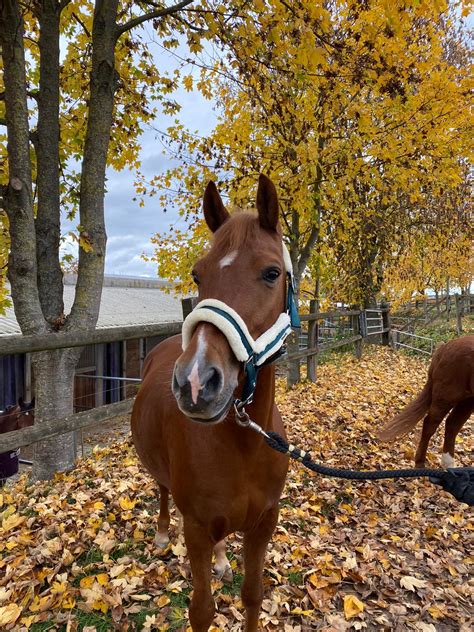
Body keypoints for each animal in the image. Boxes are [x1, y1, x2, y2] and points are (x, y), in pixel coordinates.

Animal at [131, 175, 290, 628]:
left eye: (271, 272)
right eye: (197, 275)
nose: (195, 382)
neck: (244, 446)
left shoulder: (263, 524)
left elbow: (253, 595)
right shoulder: (197, 529)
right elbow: (202, 610)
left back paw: (221, 560)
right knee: (162, 490)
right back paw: (161, 533)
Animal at [380, 338, 472, 466]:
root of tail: (445, 347)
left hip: (467, 401)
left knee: (452, 425)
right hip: (446, 398)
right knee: (431, 424)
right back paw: (421, 463)